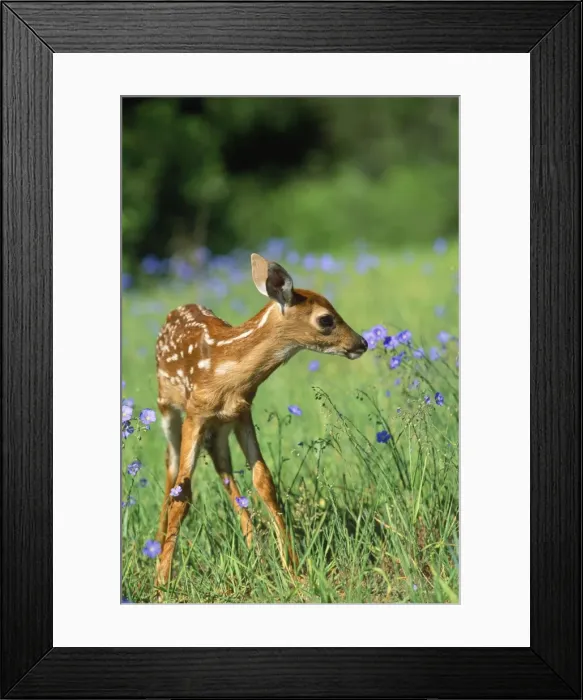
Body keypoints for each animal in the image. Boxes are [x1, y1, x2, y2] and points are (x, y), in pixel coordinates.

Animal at [153, 252, 368, 593]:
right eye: (326, 319)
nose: (361, 343)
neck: (226, 372)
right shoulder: (195, 414)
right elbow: (182, 494)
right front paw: (163, 582)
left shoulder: (242, 411)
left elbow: (264, 481)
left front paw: (293, 570)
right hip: (167, 408)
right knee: (171, 465)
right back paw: (158, 549)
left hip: (220, 428)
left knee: (223, 468)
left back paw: (253, 549)